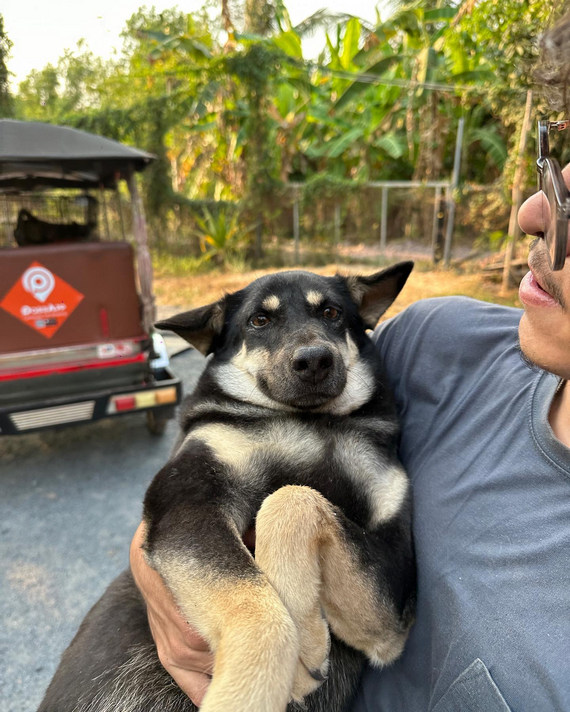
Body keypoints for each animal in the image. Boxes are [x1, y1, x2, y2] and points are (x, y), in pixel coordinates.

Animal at [37, 264, 414, 712]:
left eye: (332, 312)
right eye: (260, 320)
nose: (315, 360)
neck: (313, 423)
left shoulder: (393, 594)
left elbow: (291, 498)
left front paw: (303, 628)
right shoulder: (187, 501)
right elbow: (257, 605)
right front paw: (290, 650)